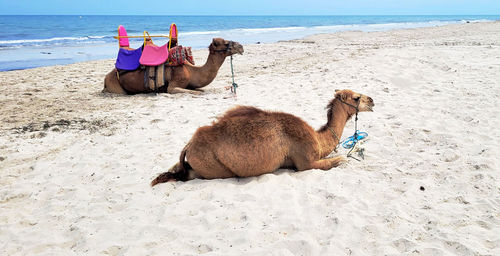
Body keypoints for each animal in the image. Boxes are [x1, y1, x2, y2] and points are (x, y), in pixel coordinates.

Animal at [102, 37, 243, 94]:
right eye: (224, 43)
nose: (241, 47)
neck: (190, 70)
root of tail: (106, 77)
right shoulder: (174, 85)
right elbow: (196, 93)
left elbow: (199, 90)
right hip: (115, 86)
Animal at [150, 89, 374, 185]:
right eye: (356, 97)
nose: (372, 100)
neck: (318, 139)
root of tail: (189, 146)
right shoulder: (306, 162)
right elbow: (342, 159)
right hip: (212, 168)